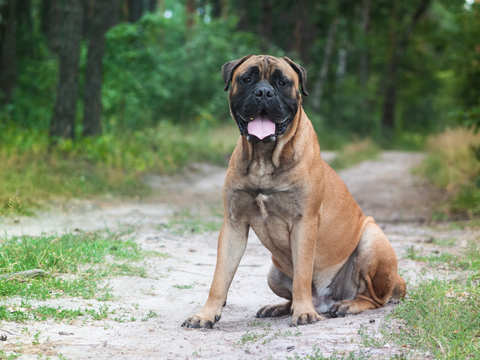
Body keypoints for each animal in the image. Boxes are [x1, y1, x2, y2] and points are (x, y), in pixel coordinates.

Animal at [182, 54, 406, 330]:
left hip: (372, 239)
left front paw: (304, 313)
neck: (263, 158)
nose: (263, 92)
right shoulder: (233, 224)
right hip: (273, 271)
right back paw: (279, 307)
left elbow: (302, 274)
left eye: (282, 82)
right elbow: (219, 278)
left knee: (375, 298)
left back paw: (348, 305)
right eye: (247, 79)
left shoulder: (304, 223)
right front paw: (205, 314)